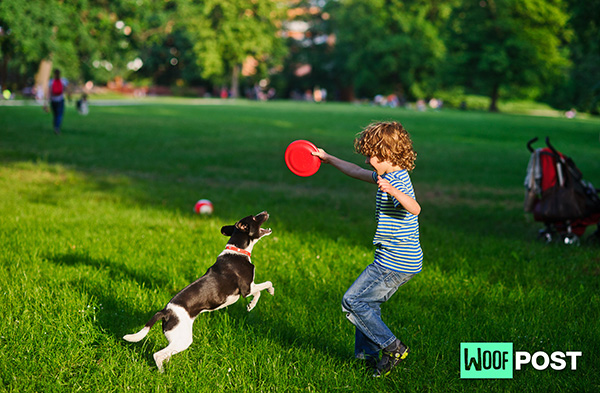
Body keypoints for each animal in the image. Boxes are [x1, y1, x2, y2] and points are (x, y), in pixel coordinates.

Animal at [124, 210, 274, 370]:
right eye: (254, 218)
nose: (265, 212)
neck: (238, 250)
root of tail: (166, 312)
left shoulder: (249, 288)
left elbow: (258, 292)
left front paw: (251, 305)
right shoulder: (247, 288)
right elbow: (266, 284)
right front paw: (270, 292)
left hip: (176, 339)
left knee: (166, 354)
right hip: (183, 339)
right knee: (158, 355)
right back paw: (163, 373)